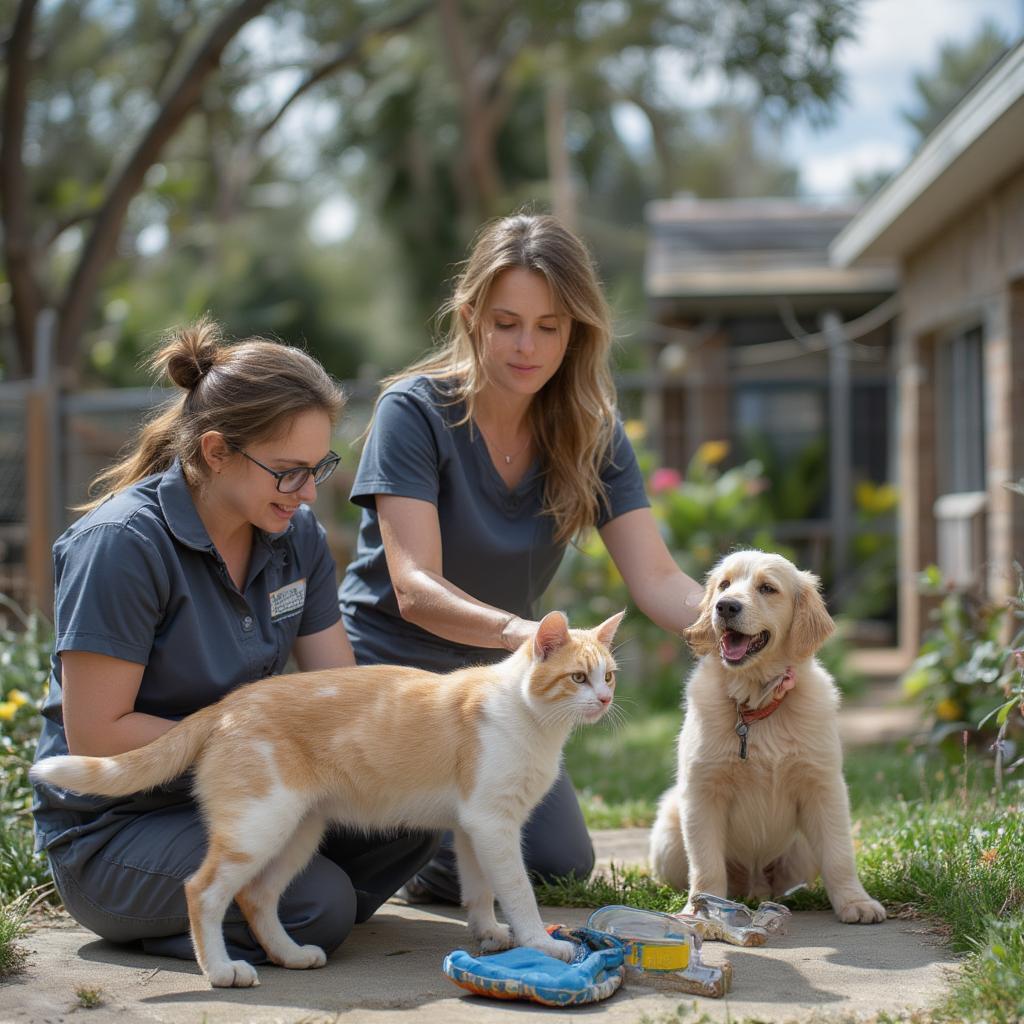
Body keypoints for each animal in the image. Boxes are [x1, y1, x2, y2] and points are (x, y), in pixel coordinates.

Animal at [32, 610, 618, 987]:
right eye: (577, 678)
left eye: (608, 675)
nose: (606, 699)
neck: (535, 721)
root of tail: (229, 703)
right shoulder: (494, 825)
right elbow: (517, 892)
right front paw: (540, 944)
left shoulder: (474, 826)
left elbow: (479, 891)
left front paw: (492, 935)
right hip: (258, 826)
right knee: (203, 891)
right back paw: (220, 970)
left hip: (298, 830)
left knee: (256, 898)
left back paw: (290, 956)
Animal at [651, 548, 884, 925]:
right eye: (724, 585)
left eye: (767, 588)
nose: (725, 607)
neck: (755, 702)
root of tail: (754, 885)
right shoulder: (701, 792)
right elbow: (705, 864)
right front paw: (701, 909)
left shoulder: (824, 786)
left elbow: (839, 855)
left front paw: (855, 902)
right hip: (669, 833)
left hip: (800, 851)